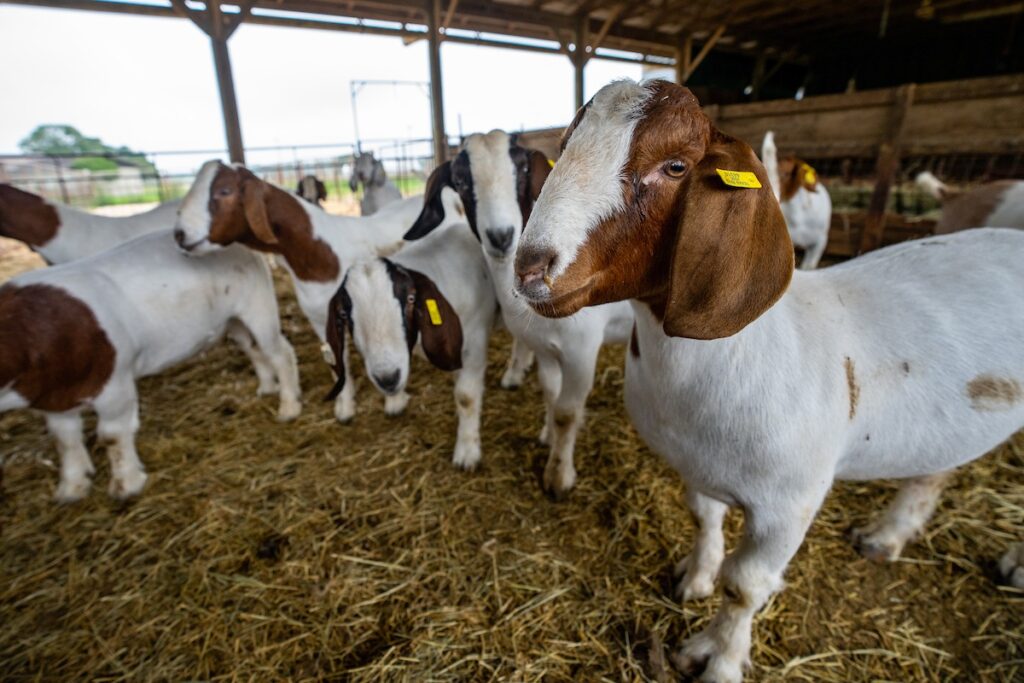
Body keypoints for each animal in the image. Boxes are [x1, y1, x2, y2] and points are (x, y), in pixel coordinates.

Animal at [0, 230, 301, 502]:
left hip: (257, 306)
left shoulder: (115, 385)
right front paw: (72, 489)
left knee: (280, 352)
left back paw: (289, 406)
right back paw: (267, 388)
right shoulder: (53, 399)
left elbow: (112, 436)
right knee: (253, 348)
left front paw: (126, 486)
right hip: (233, 320)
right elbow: (65, 440)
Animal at [173, 160, 464, 422]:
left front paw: (395, 402)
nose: (179, 234)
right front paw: (345, 409)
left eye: (224, 191)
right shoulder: (321, 316)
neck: (319, 252)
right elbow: (336, 360)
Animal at [324, 218, 496, 469]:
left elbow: (466, 397)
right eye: (345, 314)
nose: (387, 378)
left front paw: (466, 453)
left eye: (411, 299)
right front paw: (395, 401)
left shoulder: (474, 342)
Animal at [404, 129, 632, 498]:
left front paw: (558, 476)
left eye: (523, 169)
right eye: (460, 181)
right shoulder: (545, 348)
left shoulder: (582, 350)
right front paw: (548, 438)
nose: (501, 236)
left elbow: (567, 412)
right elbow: (551, 395)